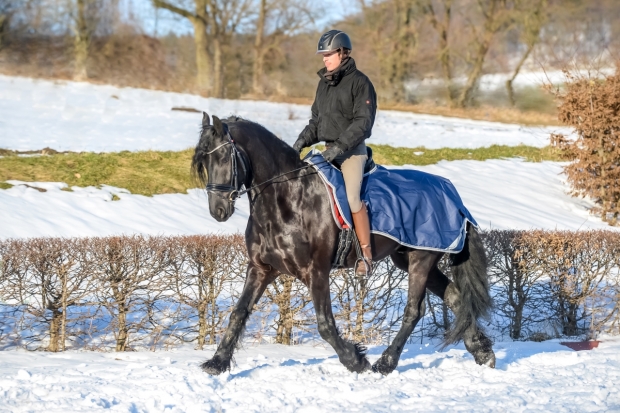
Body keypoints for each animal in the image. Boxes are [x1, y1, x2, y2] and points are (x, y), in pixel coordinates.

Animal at [191, 112, 496, 374]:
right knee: (455, 296)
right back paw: (483, 352)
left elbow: (325, 325)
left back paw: (385, 363)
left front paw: (355, 360)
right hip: (410, 259)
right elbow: (239, 312)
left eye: (223, 156)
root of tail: (452, 195)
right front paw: (217, 363)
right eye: (203, 163)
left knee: (414, 310)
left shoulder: (316, 271)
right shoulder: (261, 268)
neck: (285, 197)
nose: (218, 210)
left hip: (421, 259)